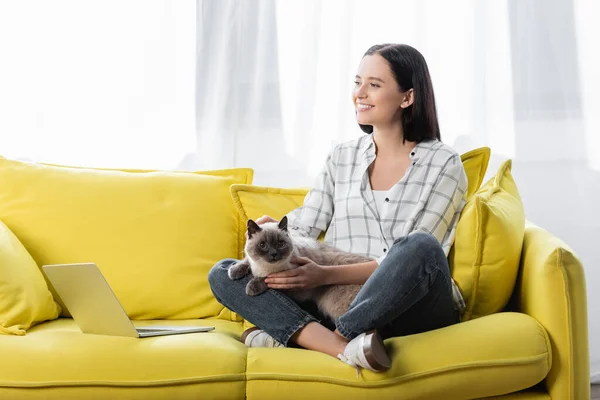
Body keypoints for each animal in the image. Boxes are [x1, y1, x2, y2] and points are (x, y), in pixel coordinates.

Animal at [227, 216, 372, 322]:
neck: (264, 267)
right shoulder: (253, 262)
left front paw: (251, 287)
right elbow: (246, 261)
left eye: (280, 244)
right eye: (263, 245)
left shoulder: (286, 278)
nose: (274, 254)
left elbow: (266, 278)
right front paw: (233, 272)